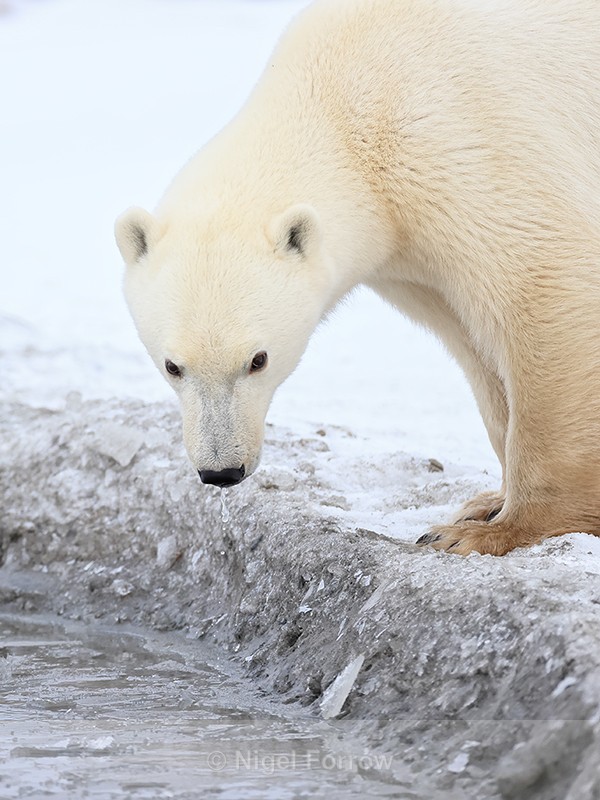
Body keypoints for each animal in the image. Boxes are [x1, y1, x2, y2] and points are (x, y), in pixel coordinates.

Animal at [115, 0, 600, 556]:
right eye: (173, 366)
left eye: (258, 360)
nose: (222, 471)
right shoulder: (409, 255)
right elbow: (473, 341)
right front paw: (484, 504)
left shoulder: (466, 137)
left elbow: (547, 285)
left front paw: (484, 531)